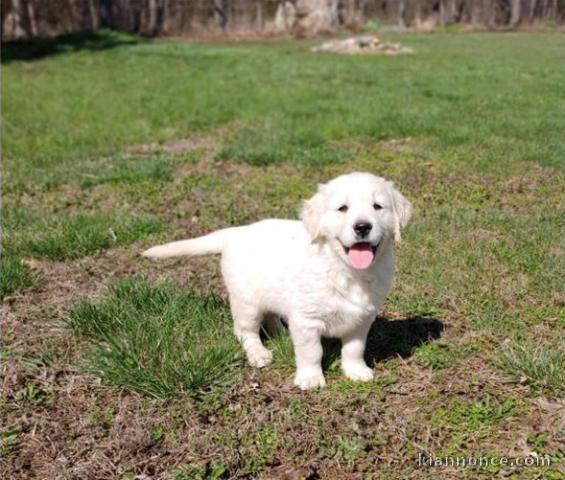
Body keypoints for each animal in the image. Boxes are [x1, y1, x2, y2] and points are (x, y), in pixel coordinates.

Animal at [143, 172, 412, 390]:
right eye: (342, 208)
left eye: (378, 206)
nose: (363, 227)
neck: (345, 270)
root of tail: (235, 233)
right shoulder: (308, 320)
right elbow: (311, 352)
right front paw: (310, 378)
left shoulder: (362, 317)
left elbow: (354, 348)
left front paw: (356, 370)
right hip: (246, 303)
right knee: (244, 332)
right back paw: (258, 353)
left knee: (272, 315)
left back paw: (283, 332)